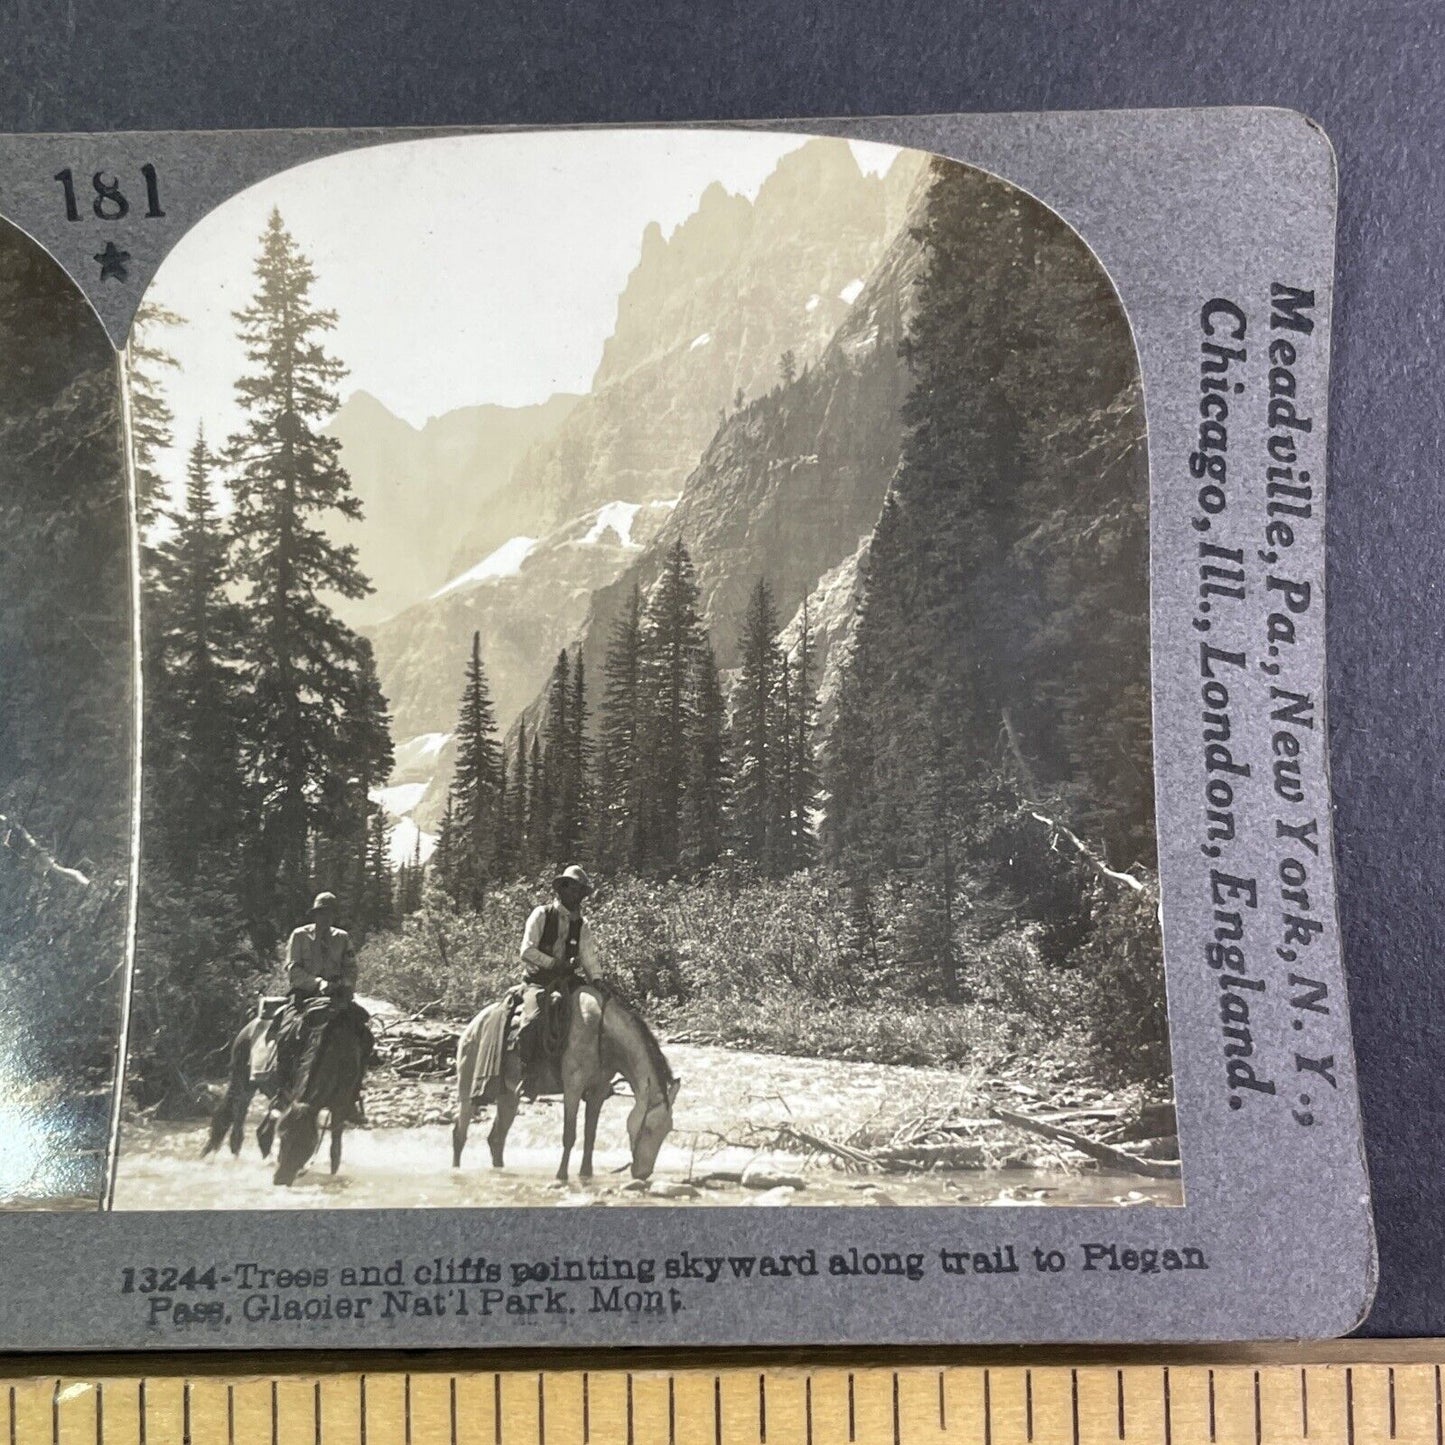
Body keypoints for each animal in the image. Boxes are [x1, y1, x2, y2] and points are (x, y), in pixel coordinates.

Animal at [203, 1005, 367, 1184]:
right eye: (283, 1137)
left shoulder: (339, 1109)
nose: (280, 1179)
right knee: (235, 1129)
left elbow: (335, 1153)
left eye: (308, 1143)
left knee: (261, 1133)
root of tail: (249, 1026)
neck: (338, 1058)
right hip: (243, 1083)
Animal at [450, 982, 676, 1184]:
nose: (643, 1174)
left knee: (496, 1138)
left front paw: (586, 1174)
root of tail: (472, 1026)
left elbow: (590, 1135)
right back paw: (457, 1172)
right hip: (467, 1090)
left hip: (508, 1096)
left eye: (667, 1131)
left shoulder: (598, 1091)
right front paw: (561, 1176)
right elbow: (570, 1135)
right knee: (460, 1134)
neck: (602, 1036)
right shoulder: (573, 1088)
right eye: (648, 1129)